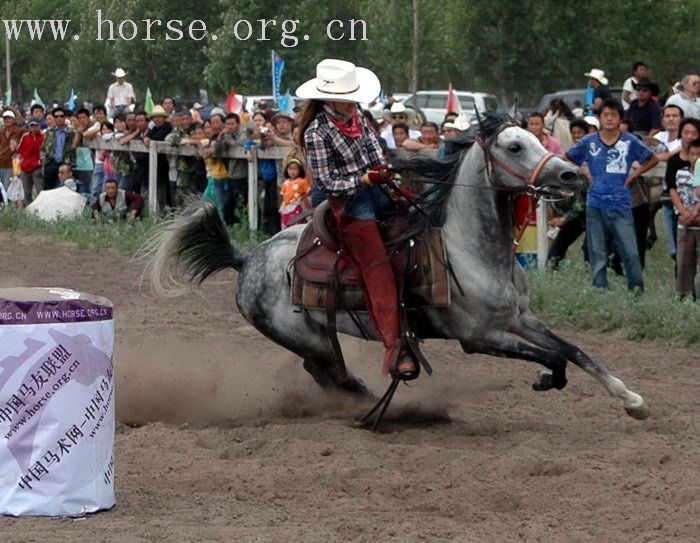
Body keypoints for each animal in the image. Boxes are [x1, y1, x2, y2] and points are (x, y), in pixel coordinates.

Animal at [146, 111, 652, 420]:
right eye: (513, 146)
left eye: (533, 137)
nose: (571, 174)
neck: (469, 248)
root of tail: (246, 259)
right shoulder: (478, 338)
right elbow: (554, 357)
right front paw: (547, 380)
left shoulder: (520, 318)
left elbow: (575, 351)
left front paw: (632, 399)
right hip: (308, 336)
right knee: (334, 375)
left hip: (319, 335)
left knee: (325, 375)